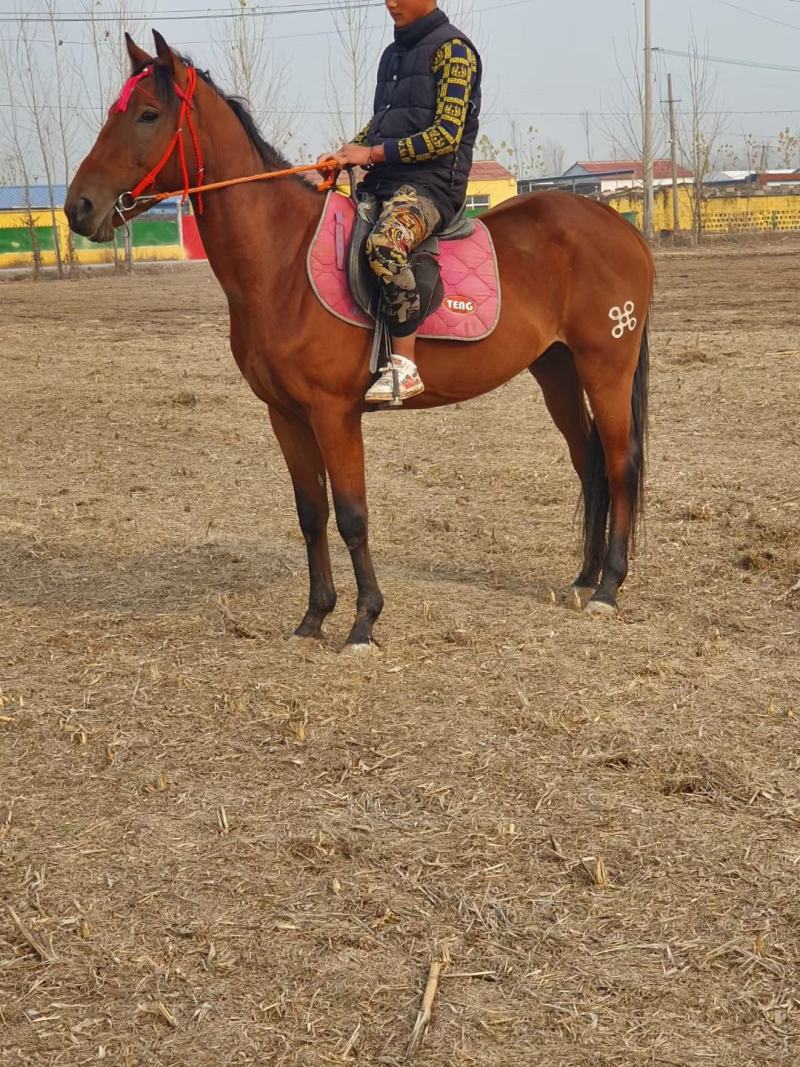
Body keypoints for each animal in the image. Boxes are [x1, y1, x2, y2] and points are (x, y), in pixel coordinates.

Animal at [65, 31, 654, 652]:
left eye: (148, 114)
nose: (78, 206)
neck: (282, 259)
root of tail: (621, 228)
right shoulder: (286, 415)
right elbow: (310, 513)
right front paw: (313, 618)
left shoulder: (333, 413)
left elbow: (351, 513)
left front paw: (363, 621)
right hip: (557, 370)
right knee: (589, 461)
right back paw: (585, 579)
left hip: (606, 368)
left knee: (620, 464)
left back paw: (609, 587)